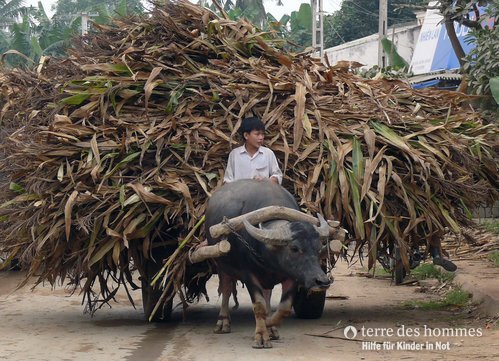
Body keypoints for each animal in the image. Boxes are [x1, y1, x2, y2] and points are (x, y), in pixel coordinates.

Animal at [205, 179, 334, 348]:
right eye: (294, 248)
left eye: (319, 248)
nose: (322, 281)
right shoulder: (249, 275)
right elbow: (259, 305)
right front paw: (261, 336)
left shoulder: (293, 275)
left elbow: (284, 307)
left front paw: (269, 324)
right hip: (221, 265)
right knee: (226, 289)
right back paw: (223, 322)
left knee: (267, 294)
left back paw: (271, 329)